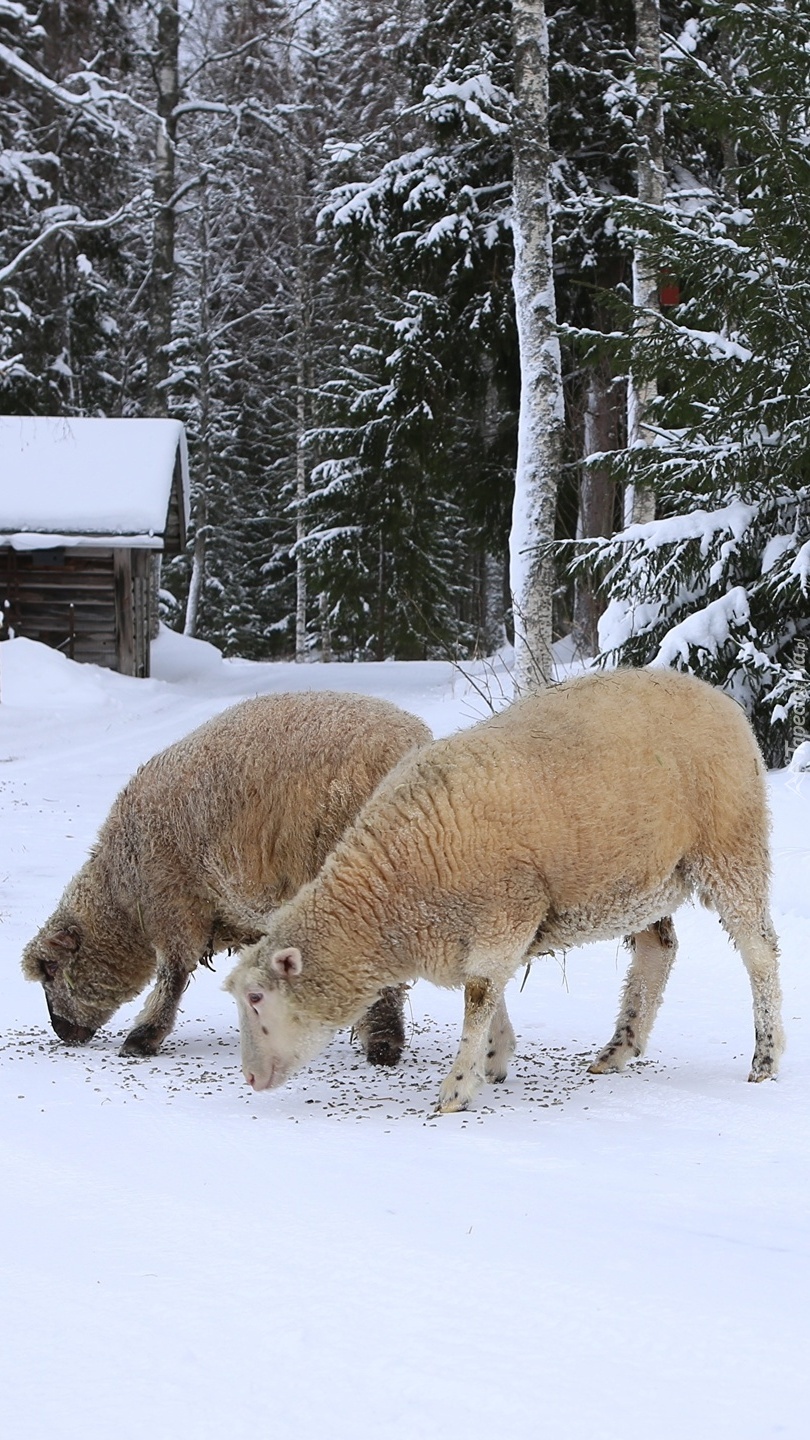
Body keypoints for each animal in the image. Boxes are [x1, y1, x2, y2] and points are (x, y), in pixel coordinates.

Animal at [22, 685, 429, 1059]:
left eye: (51, 970)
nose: (61, 1032)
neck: (123, 889)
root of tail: (405, 743)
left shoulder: (172, 900)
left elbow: (172, 974)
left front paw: (143, 1037)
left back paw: (382, 1042)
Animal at [223, 665, 784, 1111]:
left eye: (256, 997)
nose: (249, 1078)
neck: (390, 891)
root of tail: (717, 695)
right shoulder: (481, 930)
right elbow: (487, 994)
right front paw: (494, 1058)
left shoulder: (506, 912)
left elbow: (479, 996)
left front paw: (456, 1088)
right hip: (643, 879)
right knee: (658, 950)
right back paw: (617, 1049)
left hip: (731, 846)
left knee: (759, 951)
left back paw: (765, 1055)